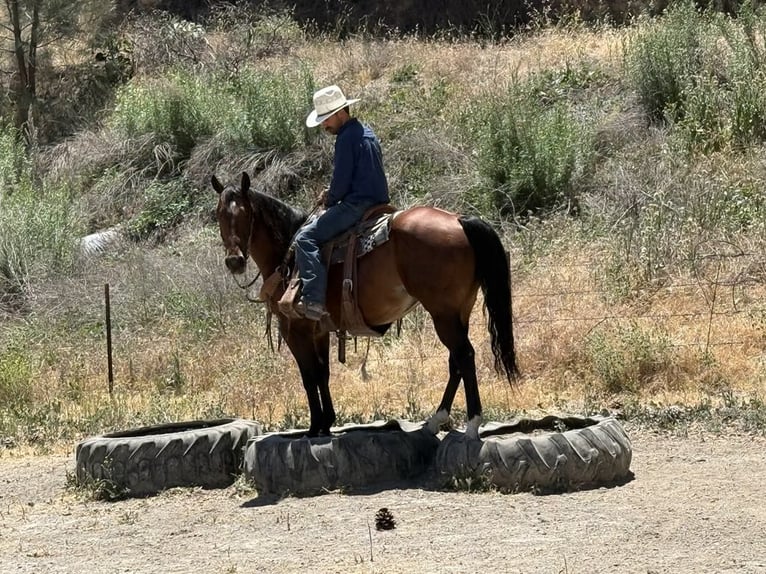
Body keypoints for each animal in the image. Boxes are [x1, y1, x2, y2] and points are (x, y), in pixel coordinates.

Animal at [211, 171, 518, 439]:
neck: (287, 251)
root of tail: (459, 219)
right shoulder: (319, 330)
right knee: (456, 360)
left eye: (245, 213)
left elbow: (309, 375)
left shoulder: (294, 329)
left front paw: (314, 427)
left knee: (464, 356)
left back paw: (472, 425)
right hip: (459, 310)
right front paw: (327, 423)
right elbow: (323, 373)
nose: (234, 261)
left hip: (443, 313)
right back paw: (435, 421)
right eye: (219, 215)